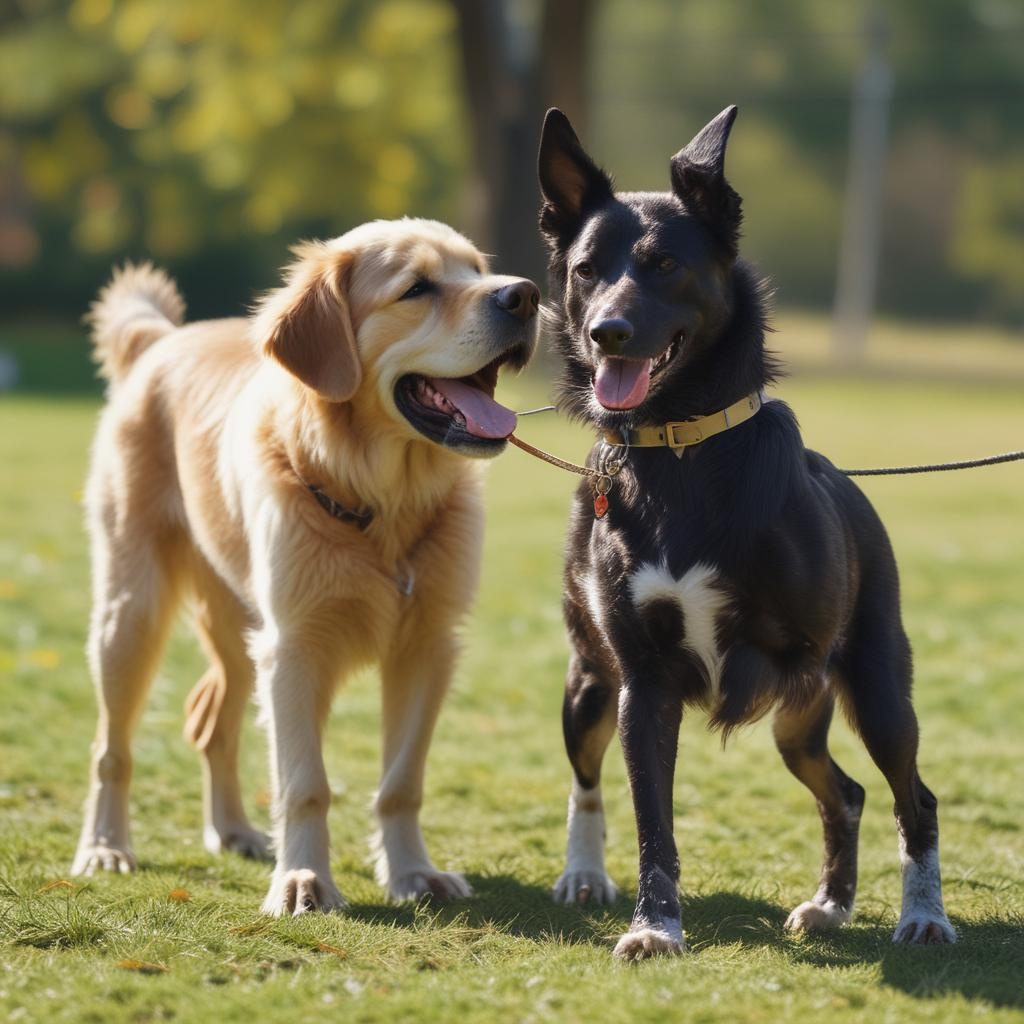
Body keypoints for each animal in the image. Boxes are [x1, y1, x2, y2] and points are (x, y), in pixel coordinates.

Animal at [540, 105, 954, 958]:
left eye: (665, 264)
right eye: (586, 269)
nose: (606, 332)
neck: (677, 452)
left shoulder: (795, 662)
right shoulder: (642, 685)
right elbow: (651, 821)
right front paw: (654, 926)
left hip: (874, 691)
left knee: (907, 795)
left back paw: (920, 914)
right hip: (591, 684)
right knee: (596, 783)